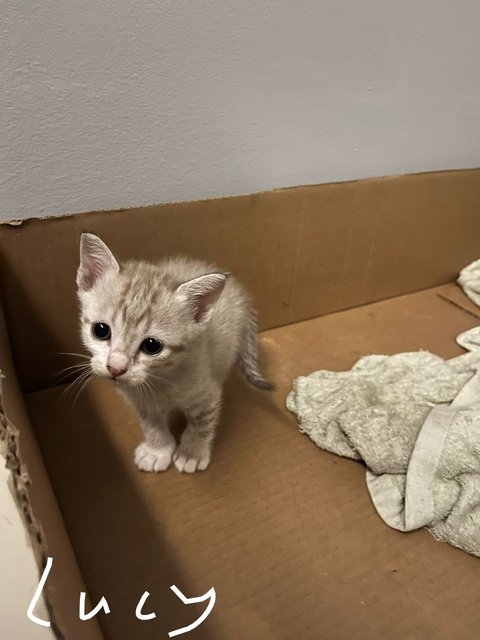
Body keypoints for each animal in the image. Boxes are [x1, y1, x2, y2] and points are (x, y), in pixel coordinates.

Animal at [75, 232, 274, 472]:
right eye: (101, 330)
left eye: (152, 346)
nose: (116, 367)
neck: (159, 381)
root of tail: (239, 291)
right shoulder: (144, 405)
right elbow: (152, 426)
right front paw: (157, 450)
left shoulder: (207, 394)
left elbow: (201, 426)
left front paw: (192, 453)